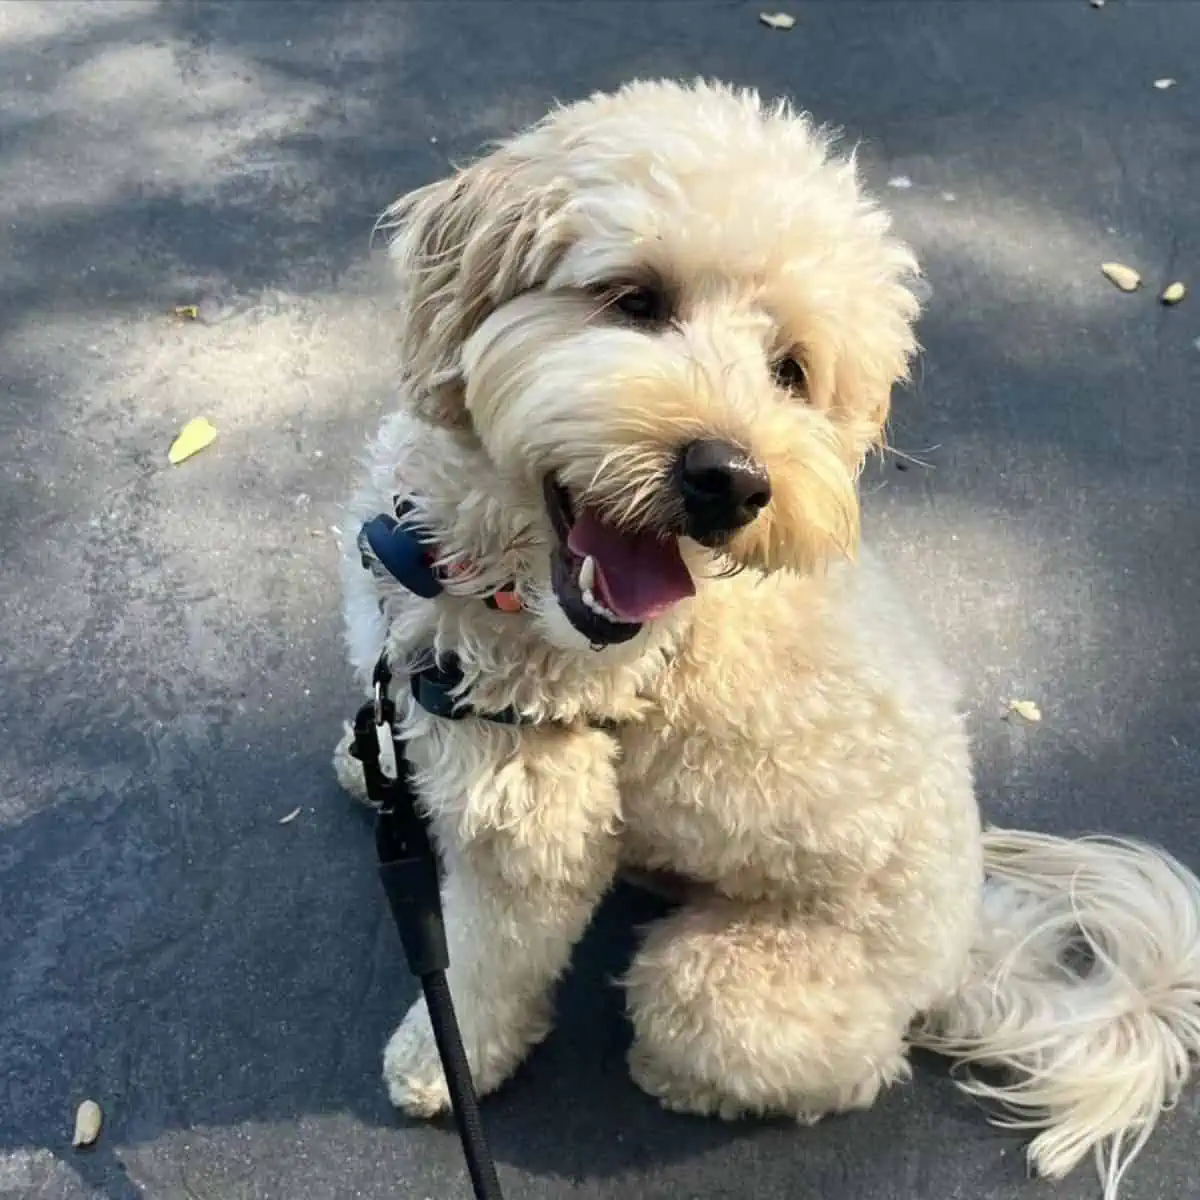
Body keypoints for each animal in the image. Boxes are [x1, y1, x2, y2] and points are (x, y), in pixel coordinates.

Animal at [336, 79, 1200, 1195]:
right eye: (636, 300)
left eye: (789, 370)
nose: (732, 480)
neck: (485, 575)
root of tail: (963, 946)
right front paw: (361, 760)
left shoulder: (534, 829)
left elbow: (486, 965)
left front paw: (441, 1062)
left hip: (718, 984)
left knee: (844, 1067)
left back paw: (682, 1079)